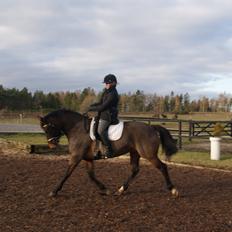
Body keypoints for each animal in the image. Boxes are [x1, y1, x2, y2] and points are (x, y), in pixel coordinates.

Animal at [39, 109, 179, 198]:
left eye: (48, 127)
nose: (51, 145)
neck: (77, 128)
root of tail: (152, 127)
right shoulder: (88, 158)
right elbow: (91, 175)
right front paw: (105, 190)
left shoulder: (76, 157)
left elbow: (67, 173)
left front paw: (54, 191)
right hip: (134, 152)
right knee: (135, 170)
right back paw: (120, 190)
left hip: (148, 154)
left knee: (162, 167)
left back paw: (173, 190)